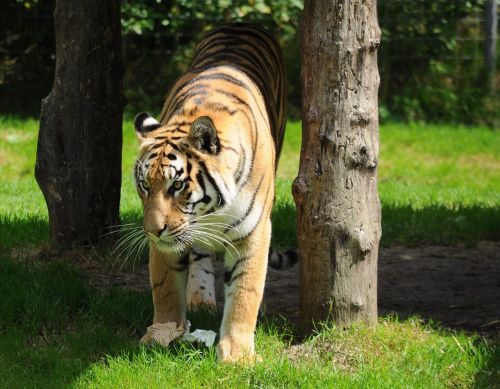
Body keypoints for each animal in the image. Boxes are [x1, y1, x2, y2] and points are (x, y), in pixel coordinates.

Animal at [133, 22, 288, 362]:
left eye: (177, 185)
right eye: (145, 185)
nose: (151, 230)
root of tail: (242, 23)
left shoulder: (255, 230)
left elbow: (245, 291)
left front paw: (238, 356)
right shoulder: (168, 240)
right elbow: (165, 285)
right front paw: (162, 334)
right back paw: (200, 298)